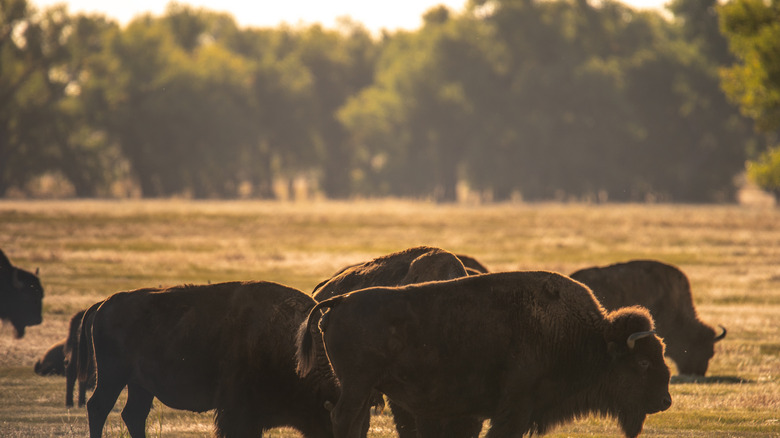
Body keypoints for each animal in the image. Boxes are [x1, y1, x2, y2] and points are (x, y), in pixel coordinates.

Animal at [81, 281, 338, 438]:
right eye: (331, 420)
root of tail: (105, 304)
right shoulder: (238, 413)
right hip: (112, 377)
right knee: (98, 407)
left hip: (139, 385)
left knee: (134, 414)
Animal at [298, 271, 672, 438]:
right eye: (642, 363)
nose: (665, 400)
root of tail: (339, 301)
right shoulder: (516, 407)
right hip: (357, 385)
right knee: (343, 417)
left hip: (362, 388)